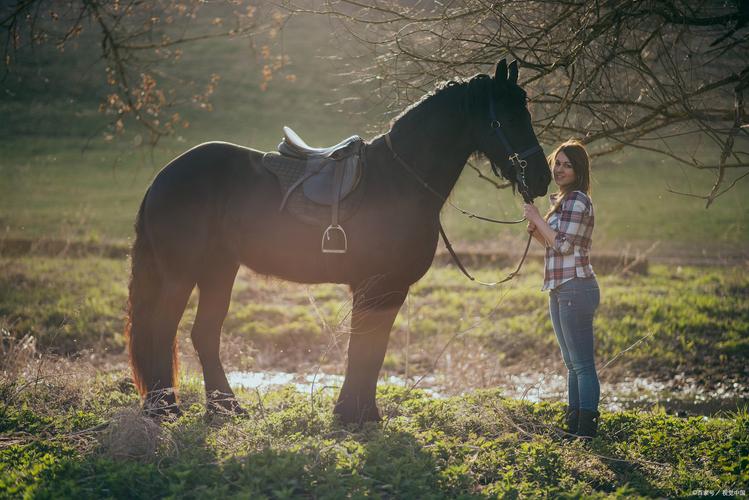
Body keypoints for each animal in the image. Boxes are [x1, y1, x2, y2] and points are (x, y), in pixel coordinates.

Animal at [125, 60, 548, 424]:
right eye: (509, 117)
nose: (542, 178)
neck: (398, 181)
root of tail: (165, 176)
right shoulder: (379, 287)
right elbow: (366, 350)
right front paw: (355, 414)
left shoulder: (383, 289)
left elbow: (368, 350)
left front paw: (355, 412)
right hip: (181, 275)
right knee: (161, 330)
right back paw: (165, 409)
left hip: (218, 271)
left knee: (204, 334)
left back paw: (225, 408)